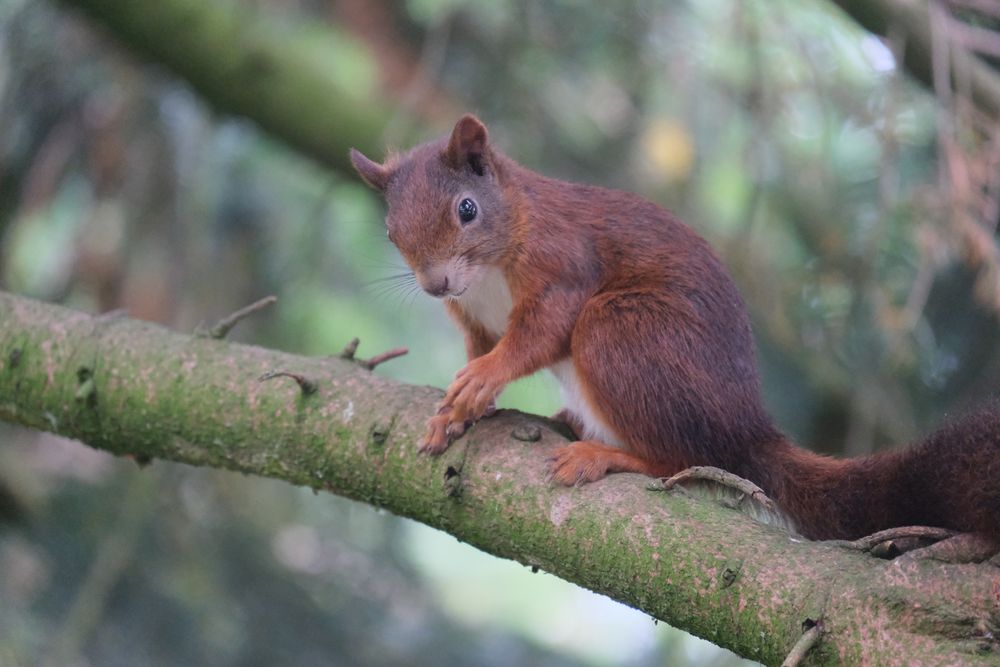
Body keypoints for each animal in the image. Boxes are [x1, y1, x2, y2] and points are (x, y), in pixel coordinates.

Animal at [350, 115, 1000, 544]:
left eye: (467, 208)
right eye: (390, 232)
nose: (435, 284)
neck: (488, 270)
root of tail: (745, 430)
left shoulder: (562, 265)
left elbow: (539, 334)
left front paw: (483, 378)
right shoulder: (471, 314)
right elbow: (480, 345)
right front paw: (453, 413)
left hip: (622, 332)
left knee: (680, 459)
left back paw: (605, 456)